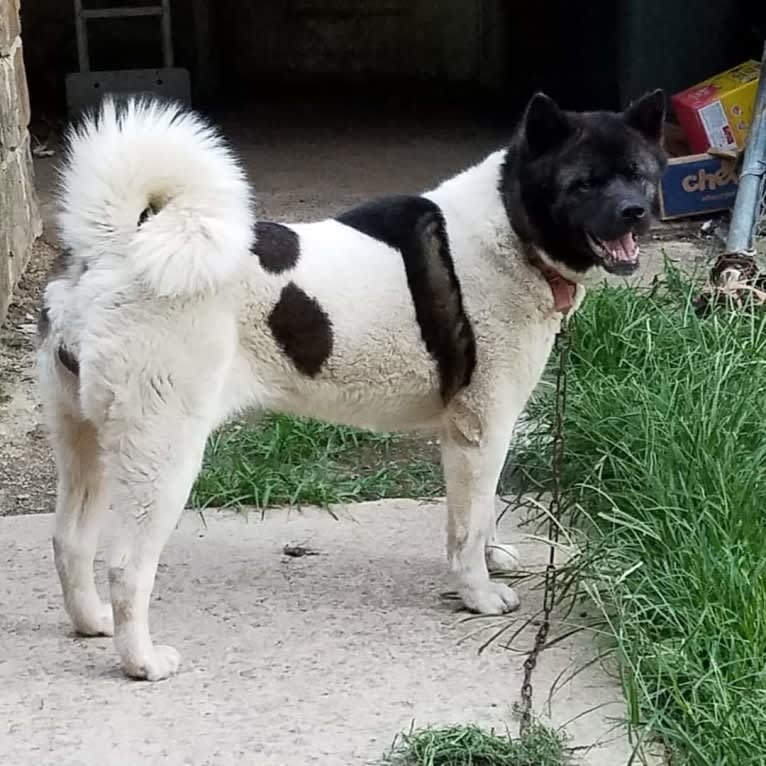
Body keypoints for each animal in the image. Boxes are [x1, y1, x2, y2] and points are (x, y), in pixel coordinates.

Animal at [37, 93, 664, 680]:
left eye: (639, 173)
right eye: (584, 181)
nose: (634, 212)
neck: (510, 226)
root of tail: (113, 254)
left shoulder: (479, 437)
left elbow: (481, 513)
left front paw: (494, 558)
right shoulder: (480, 432)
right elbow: (465, 527)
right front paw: (479, 594)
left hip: (85, 441)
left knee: (70, 540)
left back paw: (91, 623)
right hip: (164, 456)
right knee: (125, 567)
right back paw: (141, 662)